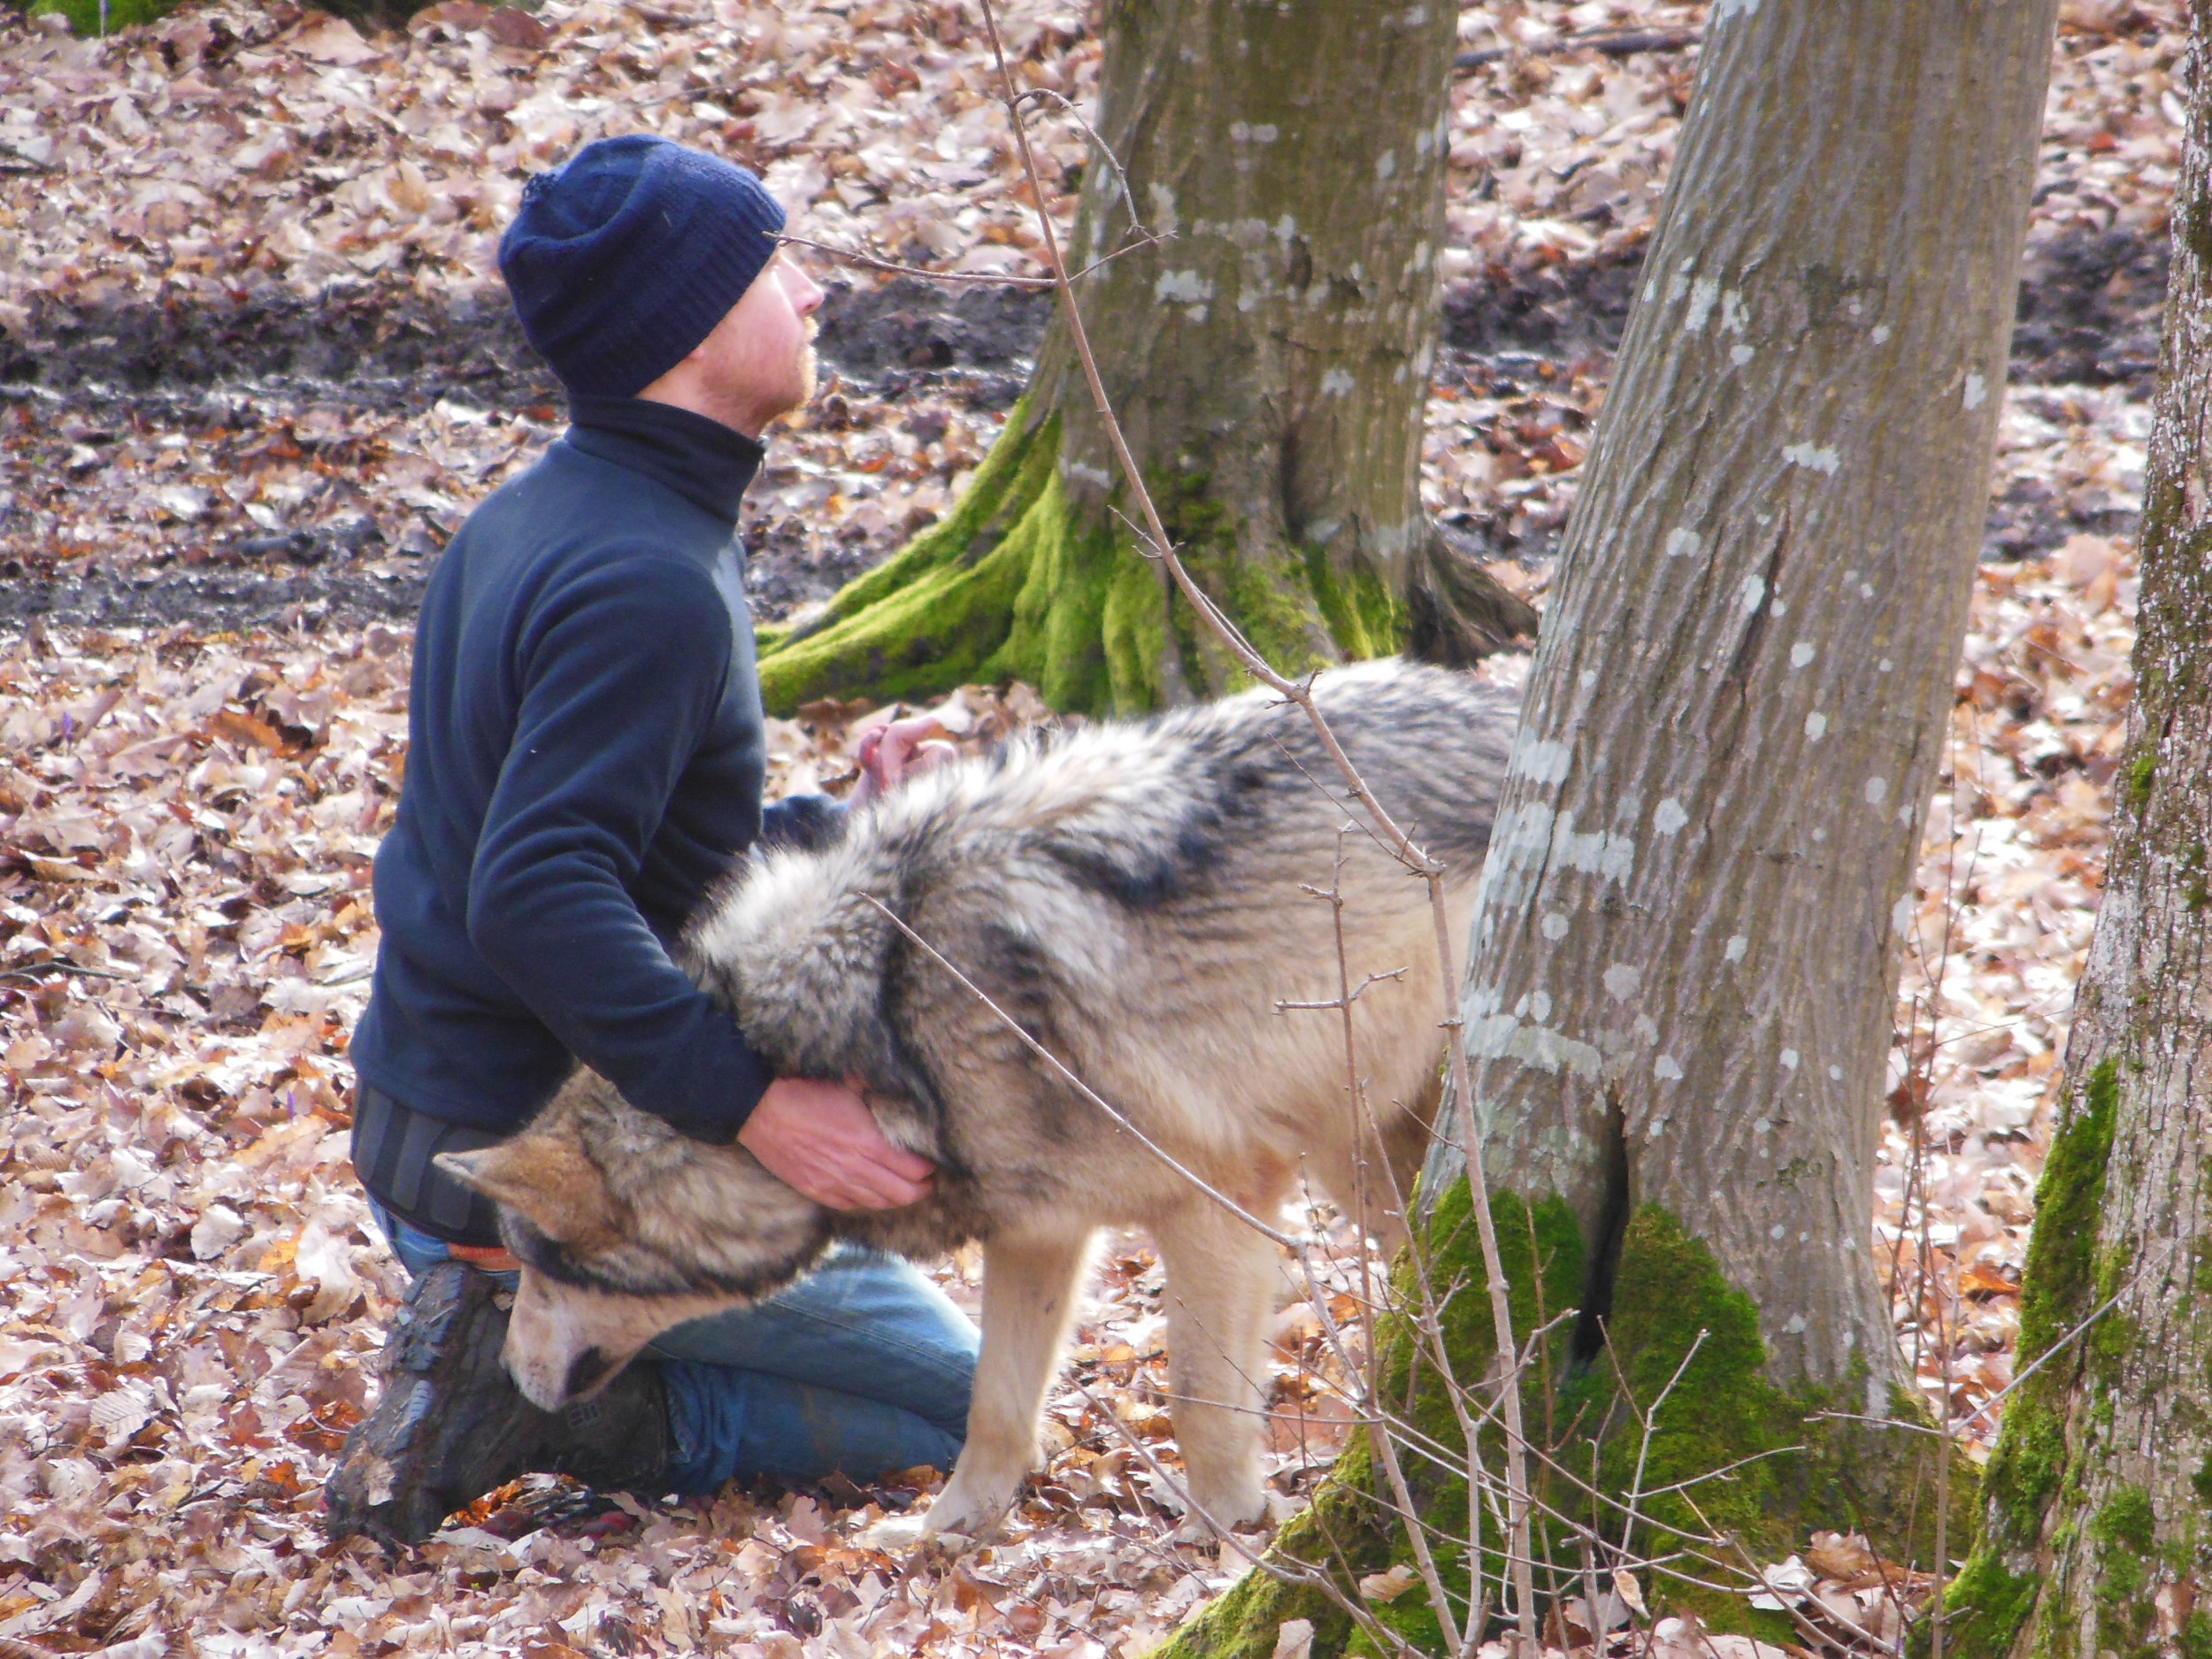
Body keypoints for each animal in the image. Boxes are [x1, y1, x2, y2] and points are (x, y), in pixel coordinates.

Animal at [444, 655, 1522, 1540]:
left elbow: (1199, 1401)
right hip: (1363, 1156)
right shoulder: (1038, 1230)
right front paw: (947, 1531)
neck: (883, 1013)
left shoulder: (1216, 1203)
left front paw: (1235, 1545)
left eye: (529, 1268)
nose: (506, 1374)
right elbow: (994, 1404)